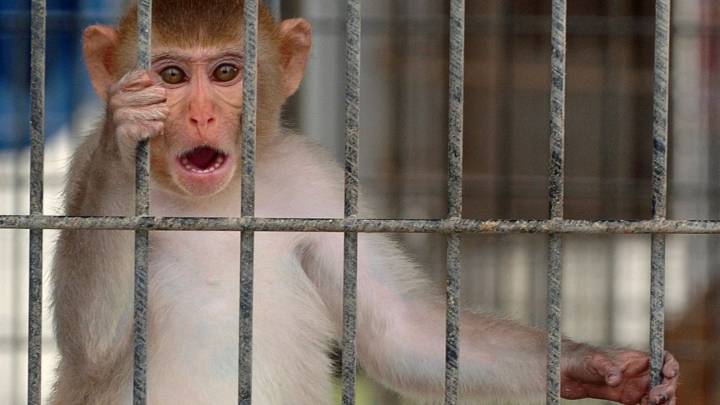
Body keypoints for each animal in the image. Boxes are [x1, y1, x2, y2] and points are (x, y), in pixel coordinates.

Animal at [50, 1, 679, 404]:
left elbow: (400, 332)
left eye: (226, 72)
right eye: (174, 76)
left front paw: (596, 367)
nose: (201, 116)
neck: (218, 202)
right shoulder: (81, 172)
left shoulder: (317, 186)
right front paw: (125, 133)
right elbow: (94, 345)